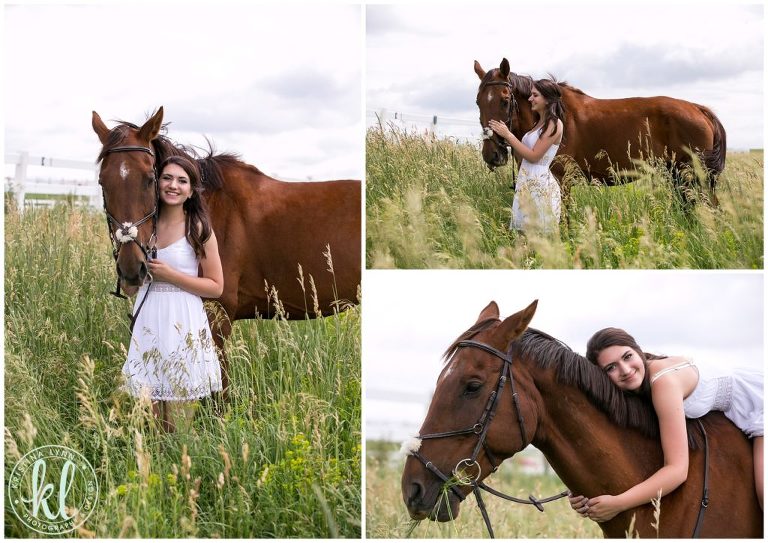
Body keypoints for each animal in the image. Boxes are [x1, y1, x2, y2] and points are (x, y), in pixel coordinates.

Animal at [474, 58, 727, 206]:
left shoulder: (562, 180)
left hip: (694, 175)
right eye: (478, 102)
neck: (554, 114)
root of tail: (698, 109)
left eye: (505, 101)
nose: (491, 154)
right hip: (679, 175)